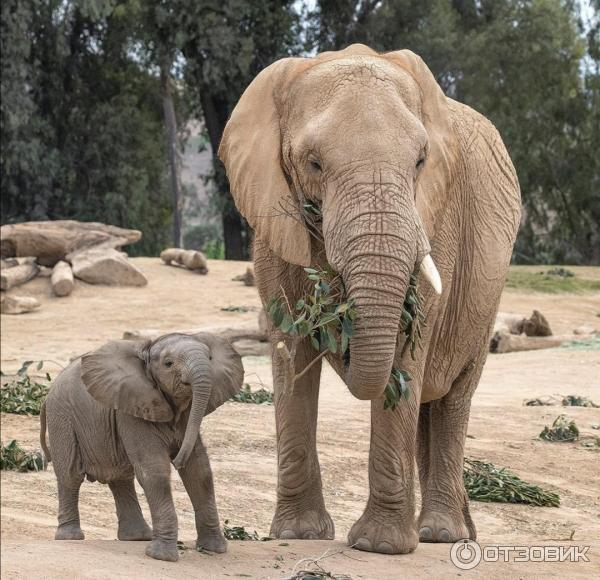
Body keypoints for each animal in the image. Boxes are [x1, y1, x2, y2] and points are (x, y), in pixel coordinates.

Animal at [40, 334, 244, 560]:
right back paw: (70, 537)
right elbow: (154, 471)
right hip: (62, 418)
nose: (177, 459)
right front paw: (162, 556)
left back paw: (137, 537)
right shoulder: (133, 409)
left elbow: (200, 471)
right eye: (168, 364)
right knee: (71, 475)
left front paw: (214, 550)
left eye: (209, 358)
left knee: (120, 476)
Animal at [217, 44, 520, 552]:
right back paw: (442, 530)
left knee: (452, 396)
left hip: (487, 292)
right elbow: (291, 350)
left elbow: (408, 347)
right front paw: (298, 535)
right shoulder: (274, 219)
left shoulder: (437, 217)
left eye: (420, 161)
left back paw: (441, 534)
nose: (343, 336)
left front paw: (380, 546)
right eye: (314, 163)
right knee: (427, 402)